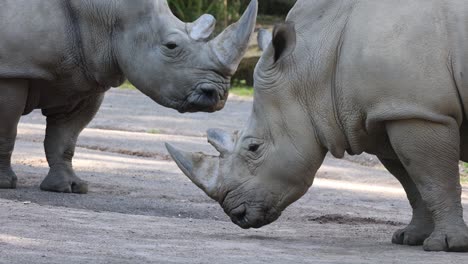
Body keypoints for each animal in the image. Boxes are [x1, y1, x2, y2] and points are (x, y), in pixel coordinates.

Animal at [0, 0, 258, 194]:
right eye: (171, 46)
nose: (218, 94)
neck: (109, 12)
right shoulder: (10, 73)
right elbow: (7, 131)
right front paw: (4, 184)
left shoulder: (85, 75)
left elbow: (65, 138)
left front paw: (69, 187)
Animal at [166, 0, 468, 252]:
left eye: (253, 147)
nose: (236, 214)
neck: (314, 67)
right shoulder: (388, 111)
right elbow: (413, 183)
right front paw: (409, 238)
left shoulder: (420, 111)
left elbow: (434, 180)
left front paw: (446, 245)